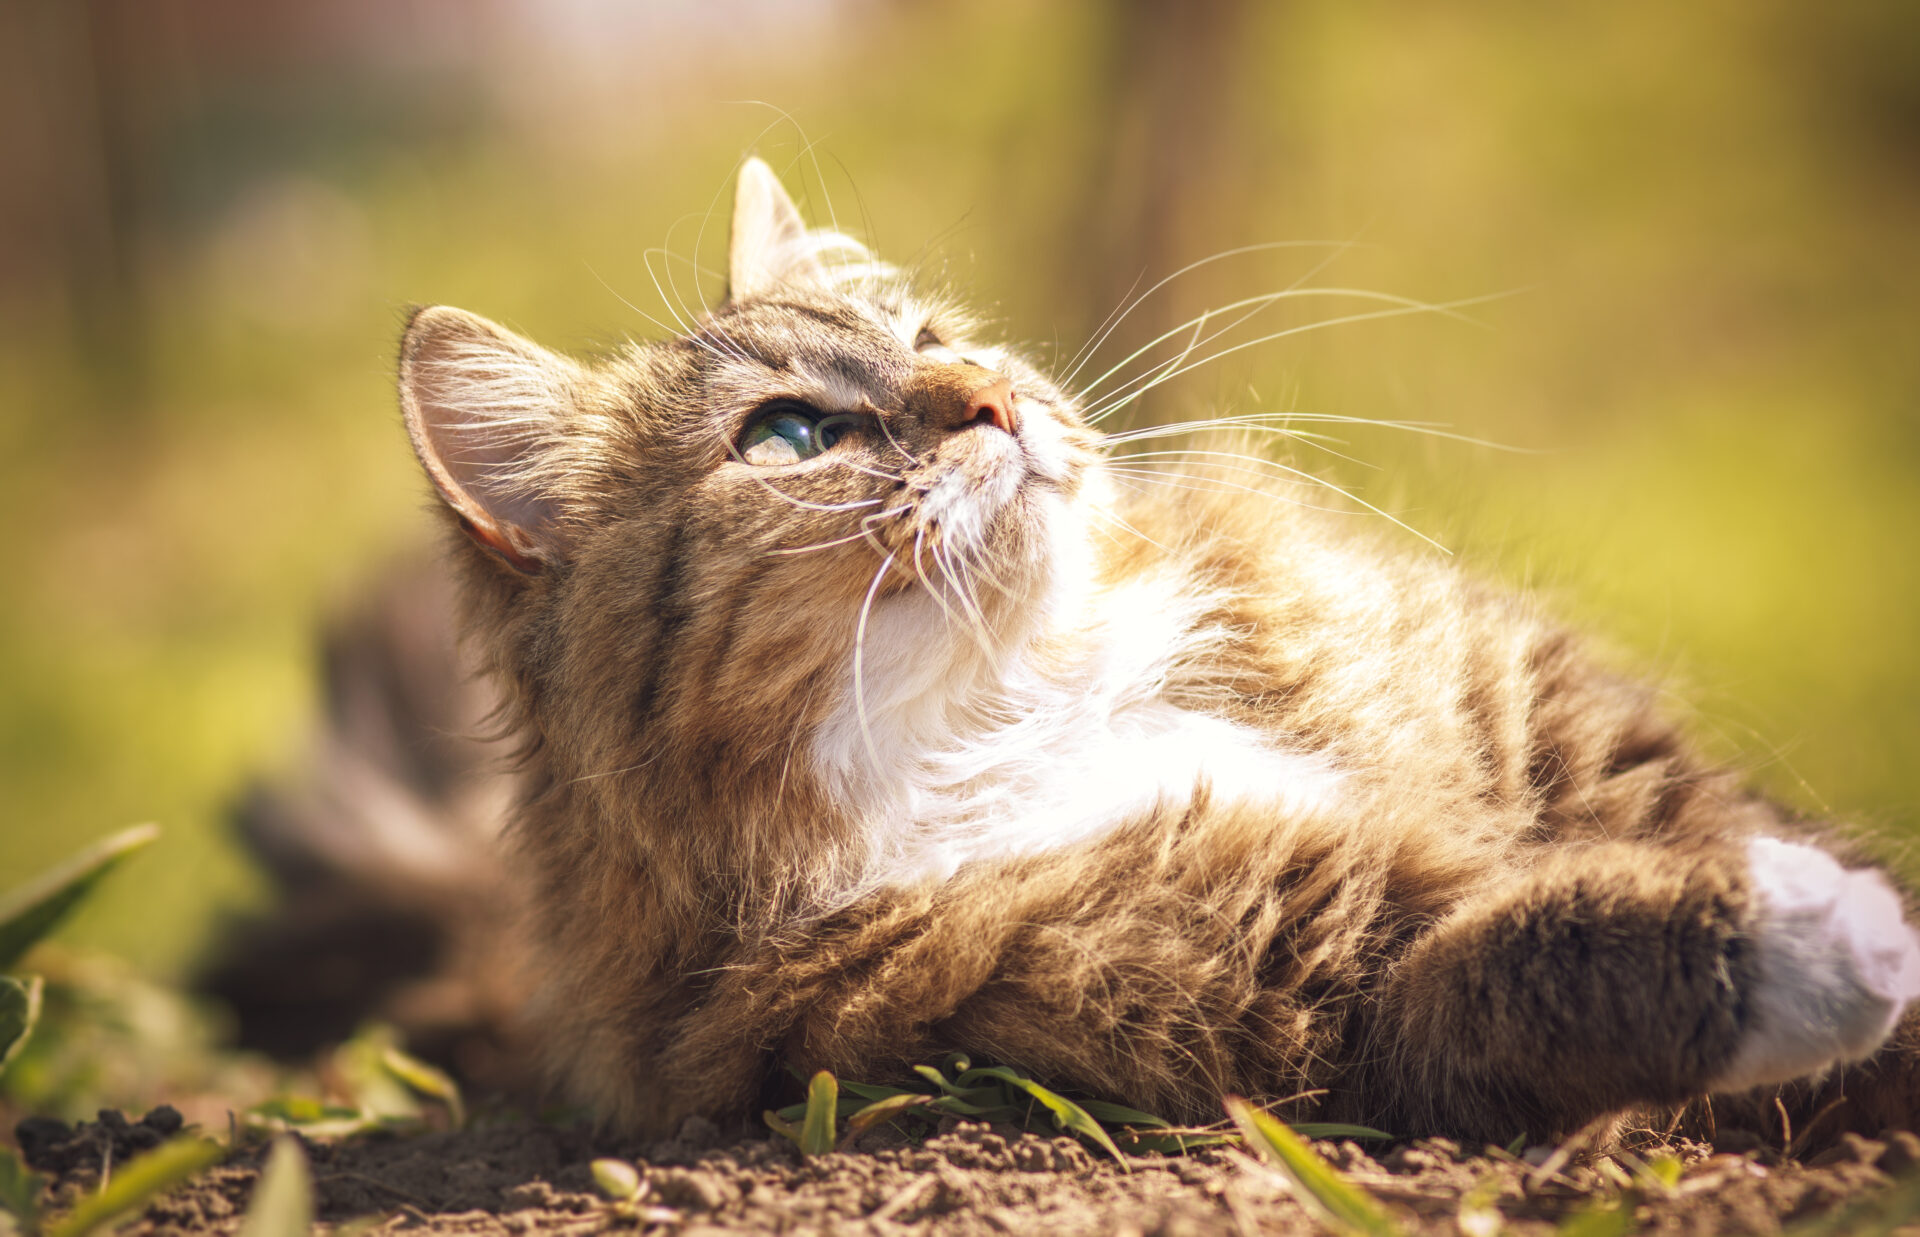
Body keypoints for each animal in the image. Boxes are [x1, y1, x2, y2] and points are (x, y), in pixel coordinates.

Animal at [334, 157, 1920, 1152]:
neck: (1040, 699)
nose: (991, 396)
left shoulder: (1576, 742)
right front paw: (1819, 941)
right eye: (788, 436)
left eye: (934, 331)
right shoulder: (1300, 992)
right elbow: (1544, 947)